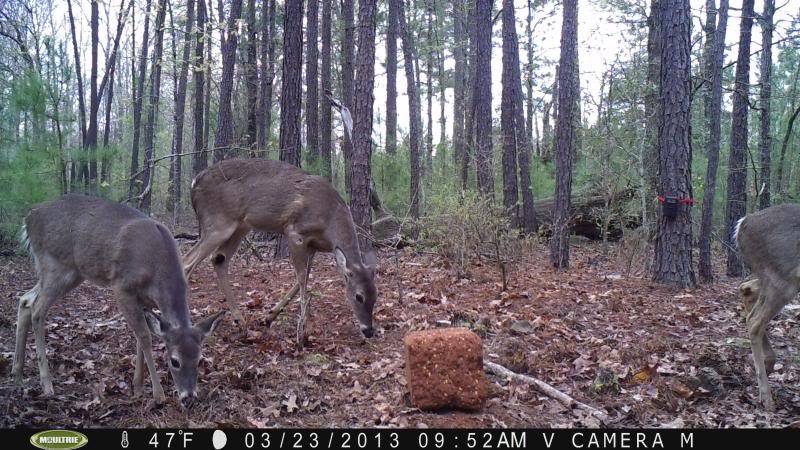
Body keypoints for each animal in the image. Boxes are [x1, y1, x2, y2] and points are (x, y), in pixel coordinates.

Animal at [13, 194, 225, 408]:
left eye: (200, 359)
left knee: (25, 300)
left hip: (70, 273)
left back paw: (17, 374)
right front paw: (158, 394)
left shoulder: (145, 300)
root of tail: (28, 218)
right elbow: (145, 337)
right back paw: (46, 385)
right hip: (56, 264)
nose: (189, 397)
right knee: (37, 310)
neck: (157, 269)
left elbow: (141, 337)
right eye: (174, 361)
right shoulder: (122, 287)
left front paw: (137, 386)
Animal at [184, 158, 378, 348]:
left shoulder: (314, 246)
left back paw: (241, 323)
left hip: (240, 226)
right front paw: (302, 332)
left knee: (219, 259)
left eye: (376, 296)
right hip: (218, 222)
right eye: (358, 296)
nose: (369, 331)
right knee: (187, 261)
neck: (330, 220)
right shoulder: (295, 232)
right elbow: (302, 278)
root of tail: (194, 182)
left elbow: (303, 278)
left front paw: (269, 317)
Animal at [736, 204, 800, 412]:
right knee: (755, 321)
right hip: (783, 276)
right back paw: (766, 398)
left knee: (747, 289)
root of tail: (743, 223)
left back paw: (769, 364)